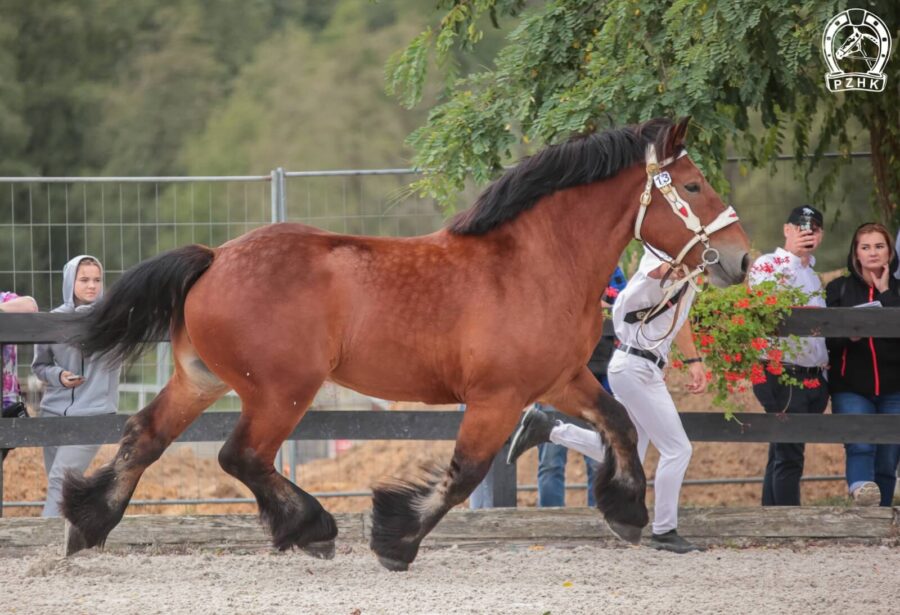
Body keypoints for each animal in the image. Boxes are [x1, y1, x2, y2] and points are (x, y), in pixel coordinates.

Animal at [59, 116, 752, 572]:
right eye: (694, 186)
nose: (740, 259)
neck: (531, 264)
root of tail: (214, 258)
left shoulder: (559, 380)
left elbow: (617, 423)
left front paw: (627, 513)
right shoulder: (497, 398)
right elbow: (465, 474)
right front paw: (396, 541)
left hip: (201, 378)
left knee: (145, 436)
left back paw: (86, 524)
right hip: (281, 391)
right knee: (242, 456)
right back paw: (313, 528)